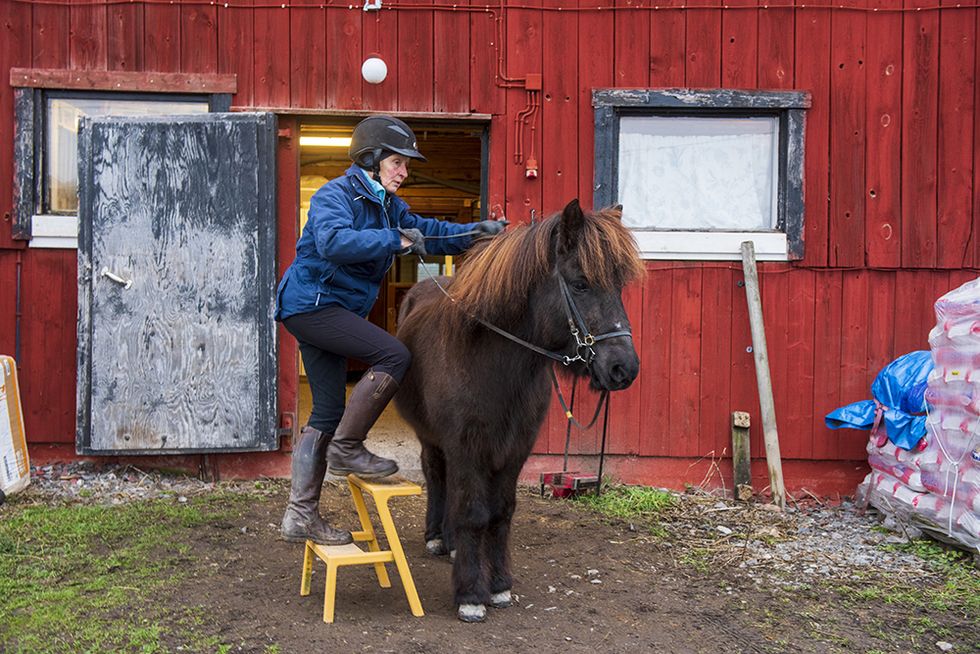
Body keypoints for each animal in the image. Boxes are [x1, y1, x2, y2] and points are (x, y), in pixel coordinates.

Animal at [394, 200, 648, 624]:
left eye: (618, 285)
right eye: (581, 283)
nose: (623, 369)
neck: (493, 363)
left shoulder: (515, 448)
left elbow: (500, 513)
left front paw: (498, 586)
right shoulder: (466, 446)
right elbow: (473, 512)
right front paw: (471, 594)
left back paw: (450, 542)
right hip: (432, 437)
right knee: (436, 474)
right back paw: (436, 536)